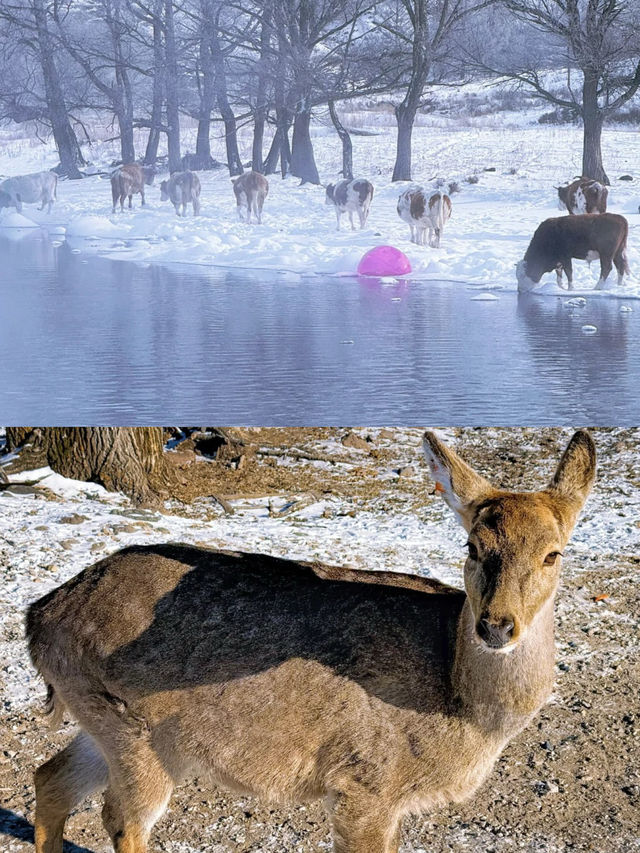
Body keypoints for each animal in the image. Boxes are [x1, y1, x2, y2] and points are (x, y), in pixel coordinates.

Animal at [25, 430, 596, 852]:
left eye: (554, 553)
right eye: (472, 546)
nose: (496, 625)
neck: (462, 707)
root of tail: (38, 618)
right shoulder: (365, 782)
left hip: (102, 721)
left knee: (49, 777)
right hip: (135, 735)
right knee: (121, 820)